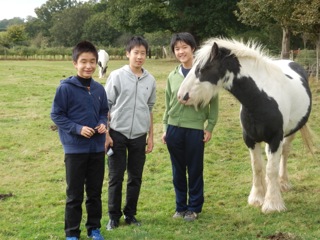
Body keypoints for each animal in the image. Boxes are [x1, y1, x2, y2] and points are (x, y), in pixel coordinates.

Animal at [178, 37, 312, 214]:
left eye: (203, 68)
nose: (181, 96)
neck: (261, 99)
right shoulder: (250, 139)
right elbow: (258, 167)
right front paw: (257, 198)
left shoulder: (275, 139)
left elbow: (271, 169)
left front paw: (272, 204)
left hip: (290, 133)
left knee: (284, 154)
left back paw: (283, 183)